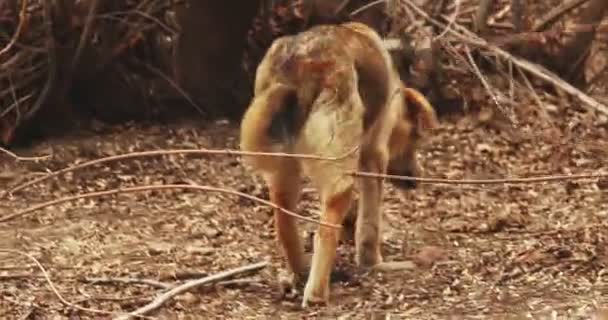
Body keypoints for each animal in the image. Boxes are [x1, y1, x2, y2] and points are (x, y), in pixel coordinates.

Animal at [238, 21, 436, 306]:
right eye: (416, 140)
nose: (417, 178)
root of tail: (299, 65)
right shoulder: (374, 156)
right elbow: (369, 224)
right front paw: (373, 262)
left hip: (283, 171)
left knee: (284, 222)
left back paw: (300, 272)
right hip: (339, 171)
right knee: (325, 231)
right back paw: (317, 293)